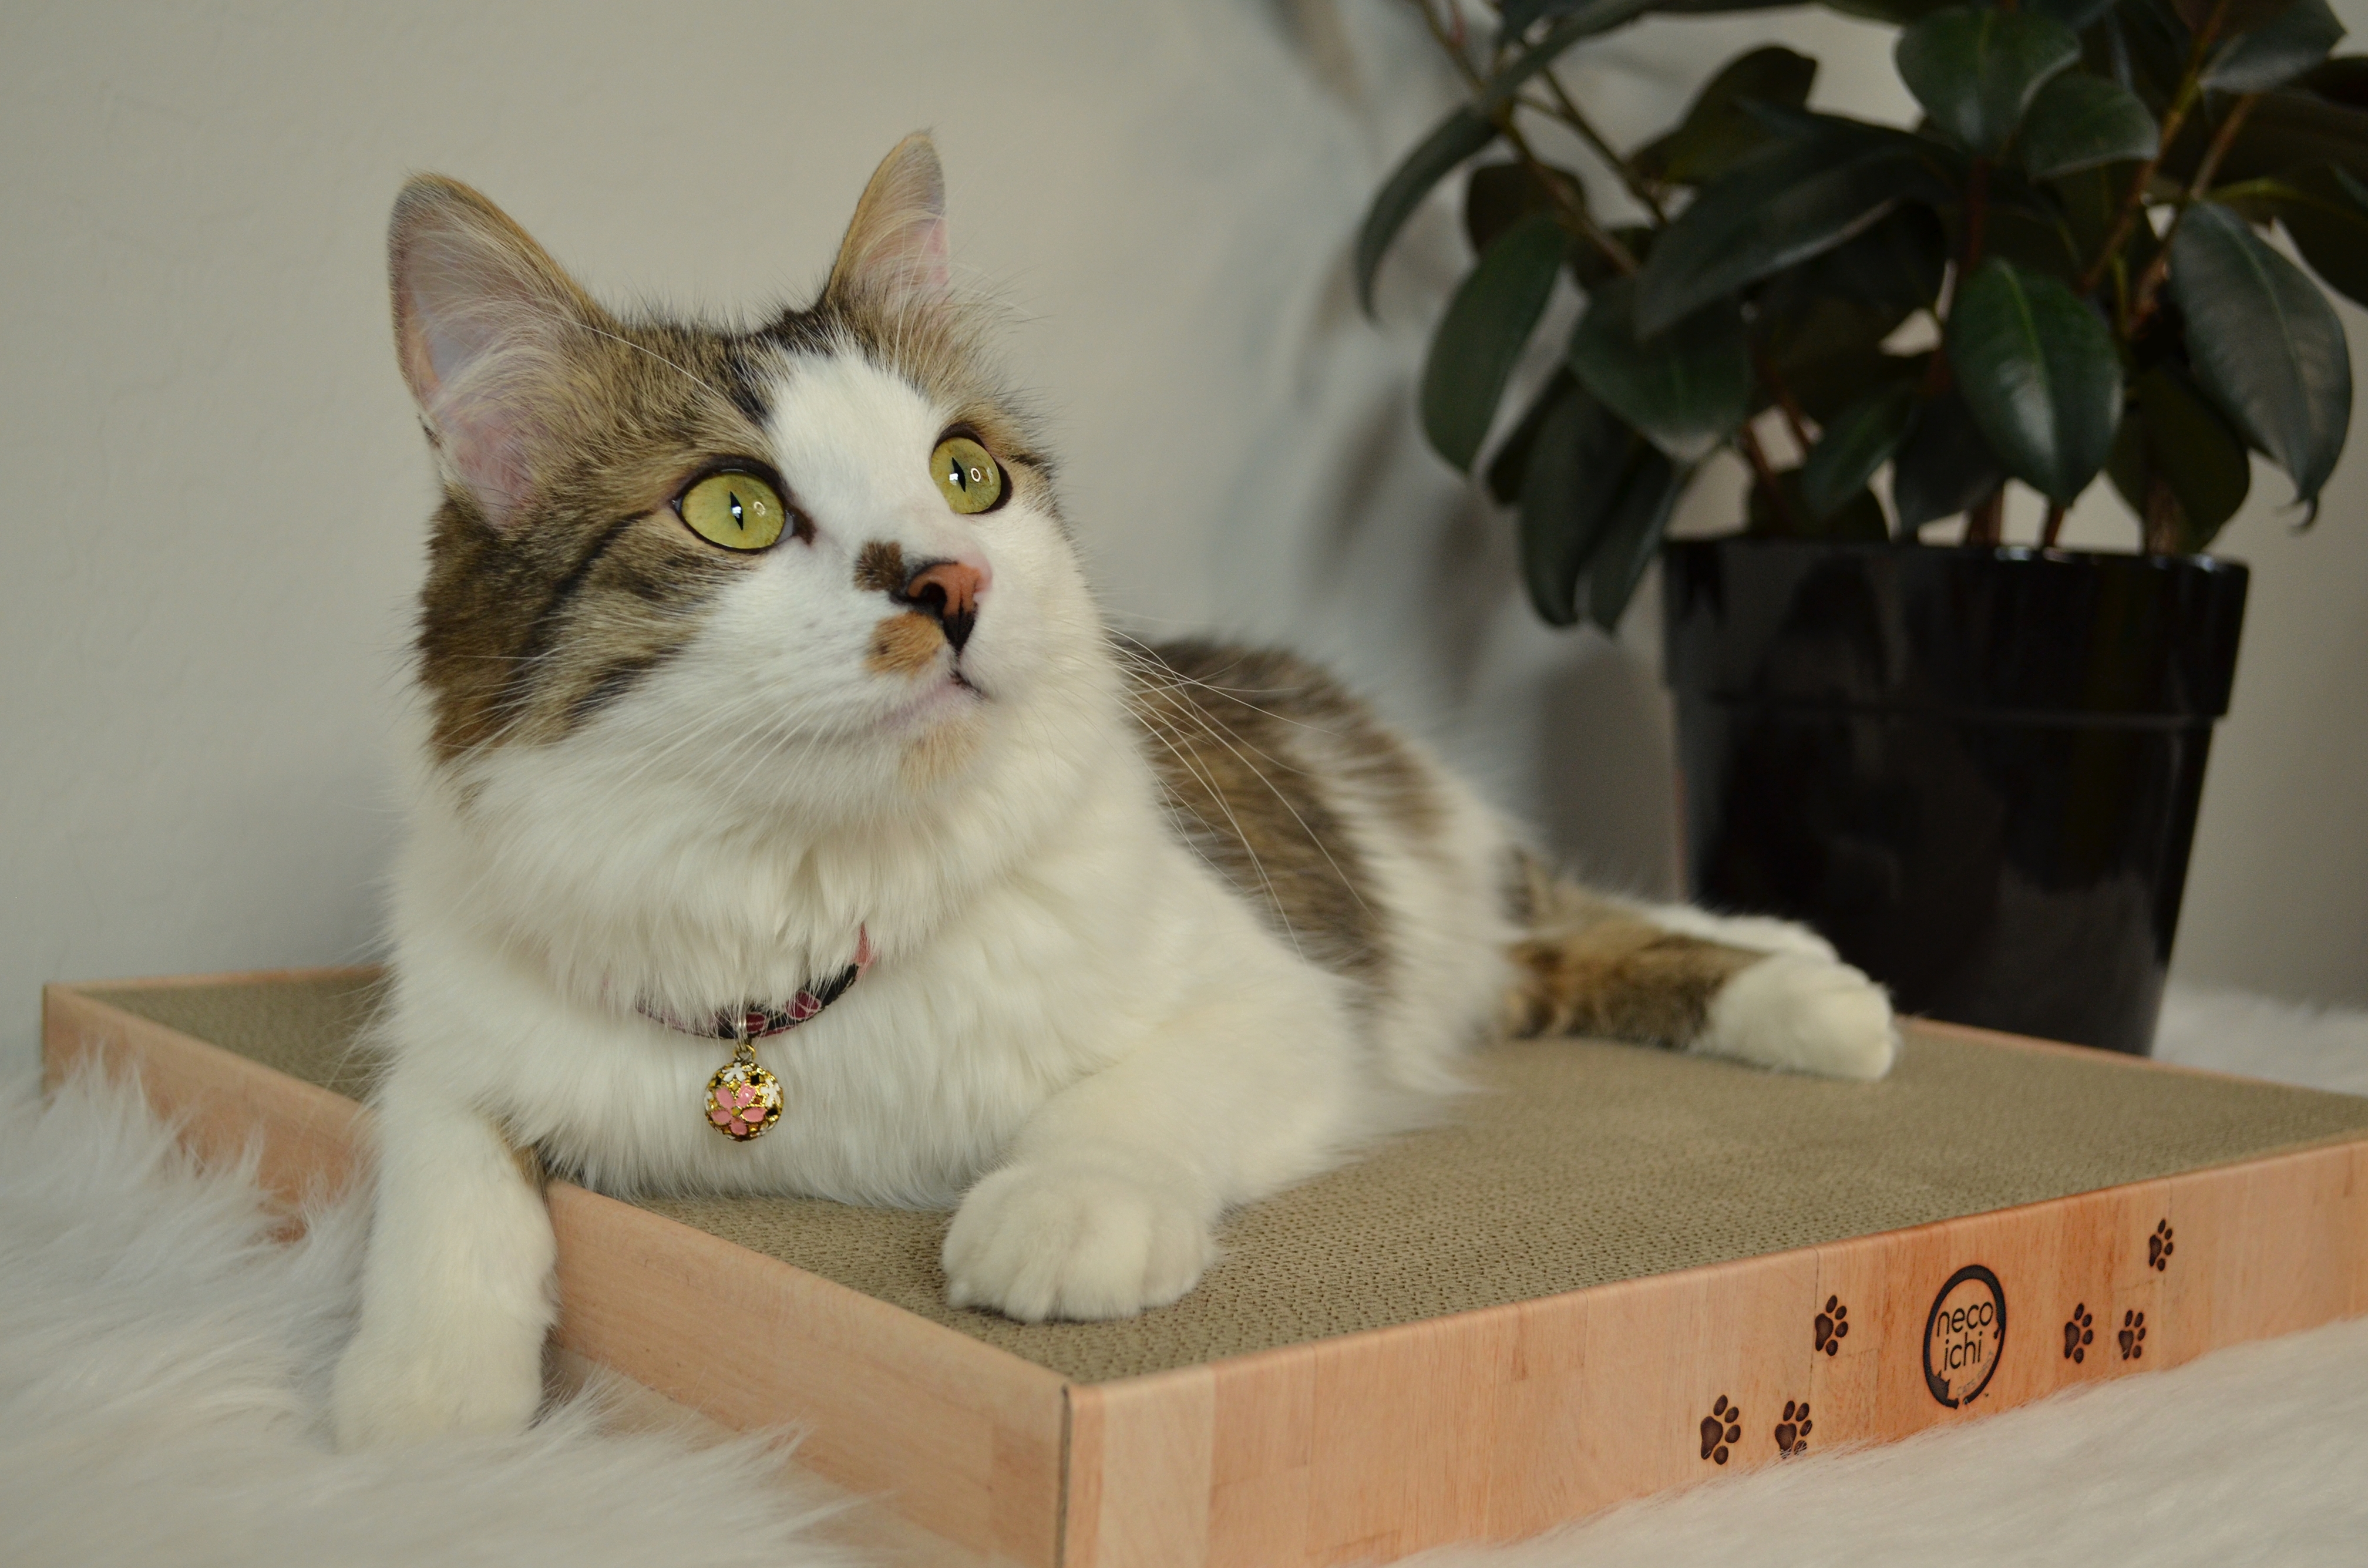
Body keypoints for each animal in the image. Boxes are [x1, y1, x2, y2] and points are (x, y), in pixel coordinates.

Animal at [334, 134, 1894, 1449]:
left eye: (968, 476)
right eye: (734, 509)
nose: (955, 582)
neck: (802, 902)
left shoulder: (1283, 997)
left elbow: (1122, 1106)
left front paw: (1057, 1216)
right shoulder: (451, 1030)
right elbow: (444, 1165)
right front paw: (422, 1393)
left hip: (1440, 889)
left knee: (1587, 916)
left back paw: (1830, 993)